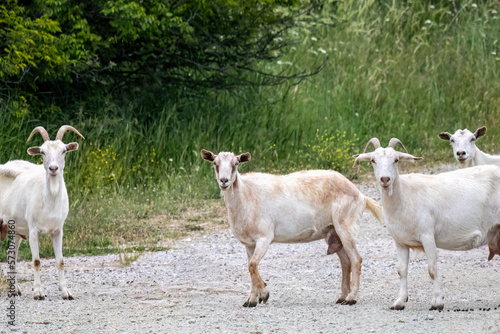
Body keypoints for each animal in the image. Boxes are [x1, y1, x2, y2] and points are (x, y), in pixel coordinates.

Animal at [0, 125, 84, 300]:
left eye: (64, 151)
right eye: (42, 152)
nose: (53, 168)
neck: (50, 200)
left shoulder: (58, 230)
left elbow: (60, 261)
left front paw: (65, 292)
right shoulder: (33, 230)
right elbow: (37, 261)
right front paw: (38, 292)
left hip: (16, 228)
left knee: (12, 254)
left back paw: (15, 289)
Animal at [201, 150, 380, 306]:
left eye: (236, 163)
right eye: (215, 163)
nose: (224, 181)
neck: (246, 196)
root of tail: (360, 195)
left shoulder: (264, 237)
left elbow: (252, 266)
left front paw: (264, 294)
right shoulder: (250, 243)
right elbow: (251, 267)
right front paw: (251, 300)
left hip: (345, 226)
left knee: (356, 259)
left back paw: (351, 298)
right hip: (333, 231)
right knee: (345, 262)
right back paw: (342, 297)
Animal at [354, 138, 500, 310]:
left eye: (396, 160)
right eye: (373, 160)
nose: (385, 179)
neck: (405, 196)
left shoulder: (427, 236)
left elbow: (432, 269)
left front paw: (437, 302)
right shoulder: (400, 241)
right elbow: (401, 270)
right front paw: (400, 301)